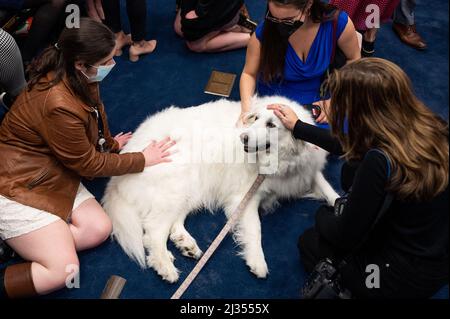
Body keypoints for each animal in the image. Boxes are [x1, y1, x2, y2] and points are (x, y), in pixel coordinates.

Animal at [102, 95, 338, 282]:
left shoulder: (306, 173)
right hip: (178, 186)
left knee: (171, 224)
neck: (278, 162)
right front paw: (257, 261)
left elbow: (328, 189)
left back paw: (184, 245)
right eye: (255, 119)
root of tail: (129, 155)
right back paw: (165, 266)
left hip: (193, 188)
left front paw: (337, 204)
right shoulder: (245, 197)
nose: (243, 137)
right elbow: (255, 229)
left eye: (272, 125)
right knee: (153, 230)